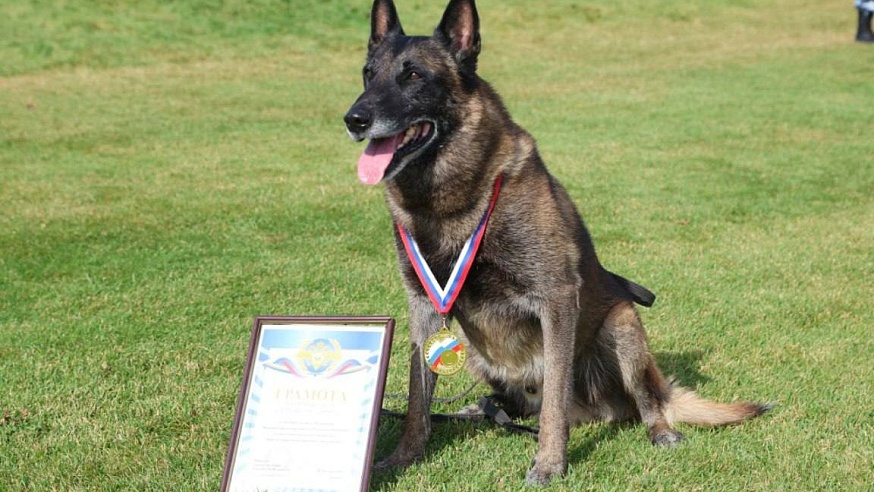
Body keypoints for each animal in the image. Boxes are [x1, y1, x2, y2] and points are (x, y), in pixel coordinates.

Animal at [344, 0, 768, 484]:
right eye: (368, 73)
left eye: (413, 75)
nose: (353, 120)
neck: (451, 201)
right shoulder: (422, 305)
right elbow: (418, 394)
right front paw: (405, 456)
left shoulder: (557, 298)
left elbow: (554, 403)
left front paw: (549, 464)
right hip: (479, 353)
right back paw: (479, 409)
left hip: (623, 324)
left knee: (646, 402)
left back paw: (660, 431)